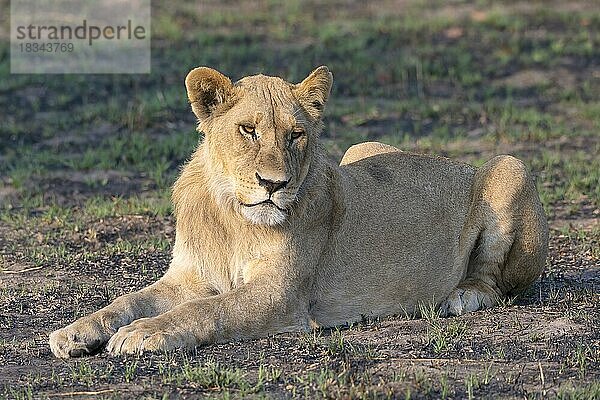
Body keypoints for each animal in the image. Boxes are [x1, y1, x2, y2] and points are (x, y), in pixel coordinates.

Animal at [50, 65, 548, 356]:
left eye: (296, 135)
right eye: (248, 130)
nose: (274, 185)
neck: (233, 217)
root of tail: (453, 161)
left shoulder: (280, 294)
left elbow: (205, 311)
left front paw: (144, 333)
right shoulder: (188, 278)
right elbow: (127, 300)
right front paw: (76, 332)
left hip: (510, 166)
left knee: (496, 285)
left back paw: (461, 297)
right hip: (361, 148)